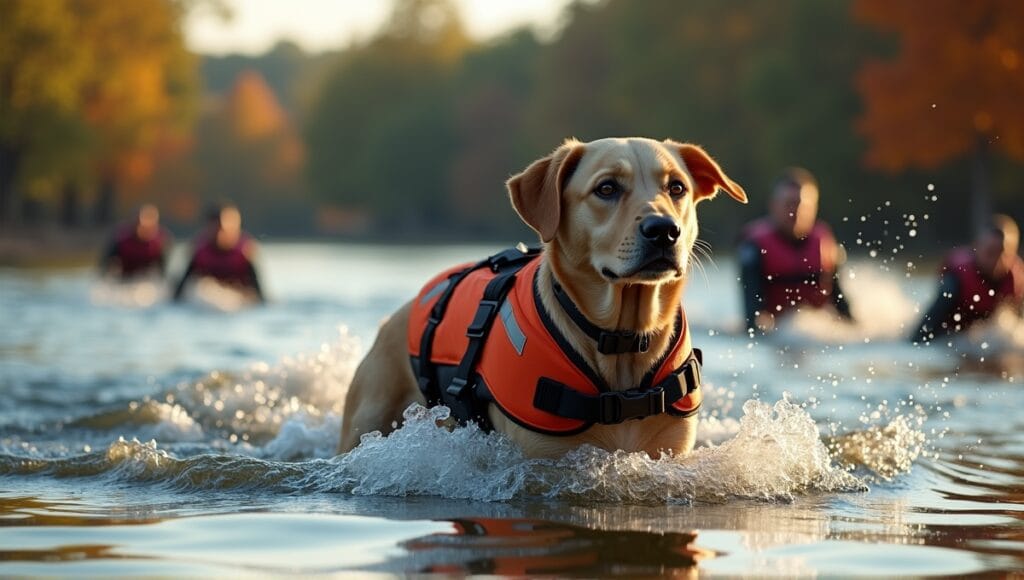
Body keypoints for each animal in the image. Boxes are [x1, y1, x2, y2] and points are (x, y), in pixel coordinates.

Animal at [339, 136, 749, 459]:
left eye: (677, 188)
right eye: (606, 189)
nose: (664, 230)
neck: (623, 339)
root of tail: (400, 313)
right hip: (368, 414)